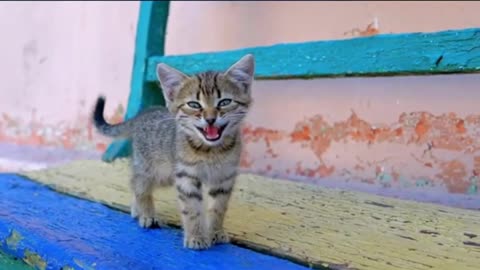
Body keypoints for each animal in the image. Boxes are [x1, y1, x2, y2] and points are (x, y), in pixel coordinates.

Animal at [91, 53, 255, 250]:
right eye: (194, 105)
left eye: (225, 102)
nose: (210, 119)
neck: (211, 151)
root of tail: (142, 113)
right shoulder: (186, 176)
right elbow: (192, 209)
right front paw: (195, 236)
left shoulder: (224, 178)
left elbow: (218, 208)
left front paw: (215, 231)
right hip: (151, 170)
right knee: (138, 184)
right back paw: (146, 213)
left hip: (167, 176)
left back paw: (137, 209)